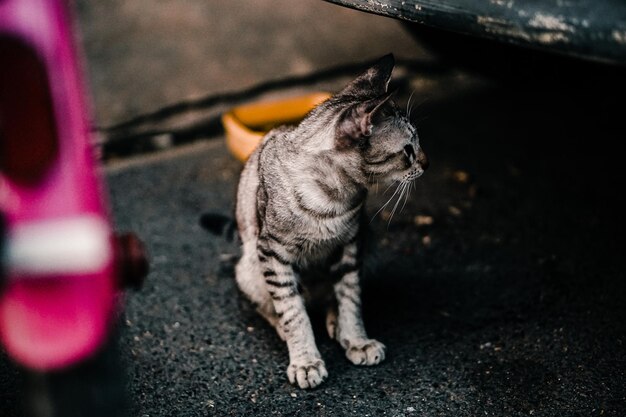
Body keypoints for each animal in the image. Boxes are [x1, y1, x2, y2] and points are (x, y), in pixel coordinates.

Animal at [202, 53, 426, 388]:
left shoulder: (351, 246)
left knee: (331, 298)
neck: (336, 197)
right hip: (250, 268)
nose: (427, 163)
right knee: (270, 304)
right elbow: (293, 311)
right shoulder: (272, 254)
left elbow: (350, 298)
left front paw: (357, 339)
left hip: (368, 245)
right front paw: (305, 360)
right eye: (408, 151)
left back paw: (336, 325)